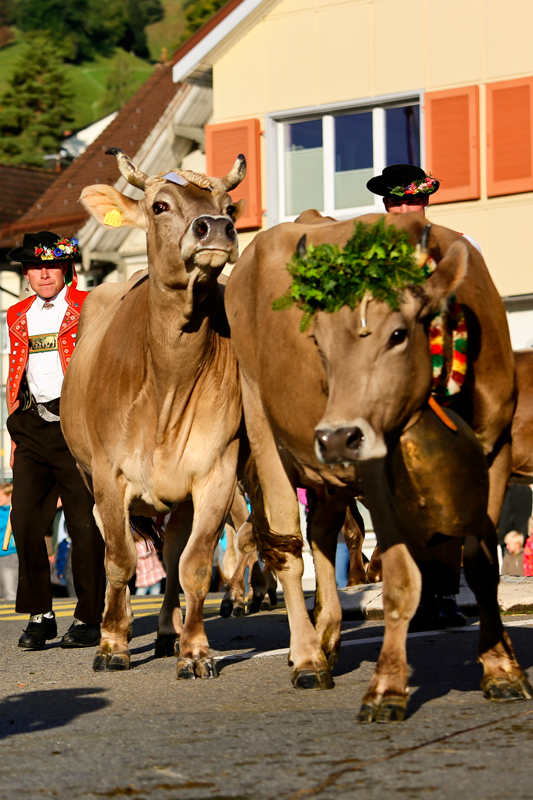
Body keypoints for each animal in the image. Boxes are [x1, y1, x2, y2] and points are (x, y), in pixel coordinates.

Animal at [60, 148, 247, 676]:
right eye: (160, 205)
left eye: (229, 205)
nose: (216, 227)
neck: (167, 377)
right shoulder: (110, 476)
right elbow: (119, 561)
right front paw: (111, 645)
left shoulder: (215, 470)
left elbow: (195, 564)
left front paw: (195, 650)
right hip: (90, 481)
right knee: (116, 549)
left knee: (171, 551)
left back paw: (167, 633)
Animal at [225, 211, 532, 720]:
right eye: (319, 344)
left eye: (397, 334)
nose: (335, 435)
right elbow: (402, 581)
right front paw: (387, 688)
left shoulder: (497, 455)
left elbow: (483, 567)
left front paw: (502, 670)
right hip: (263, 425)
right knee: (287, 548)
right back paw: (307, 657)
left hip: (328, 476)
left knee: (322, 535)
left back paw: (327, 636)